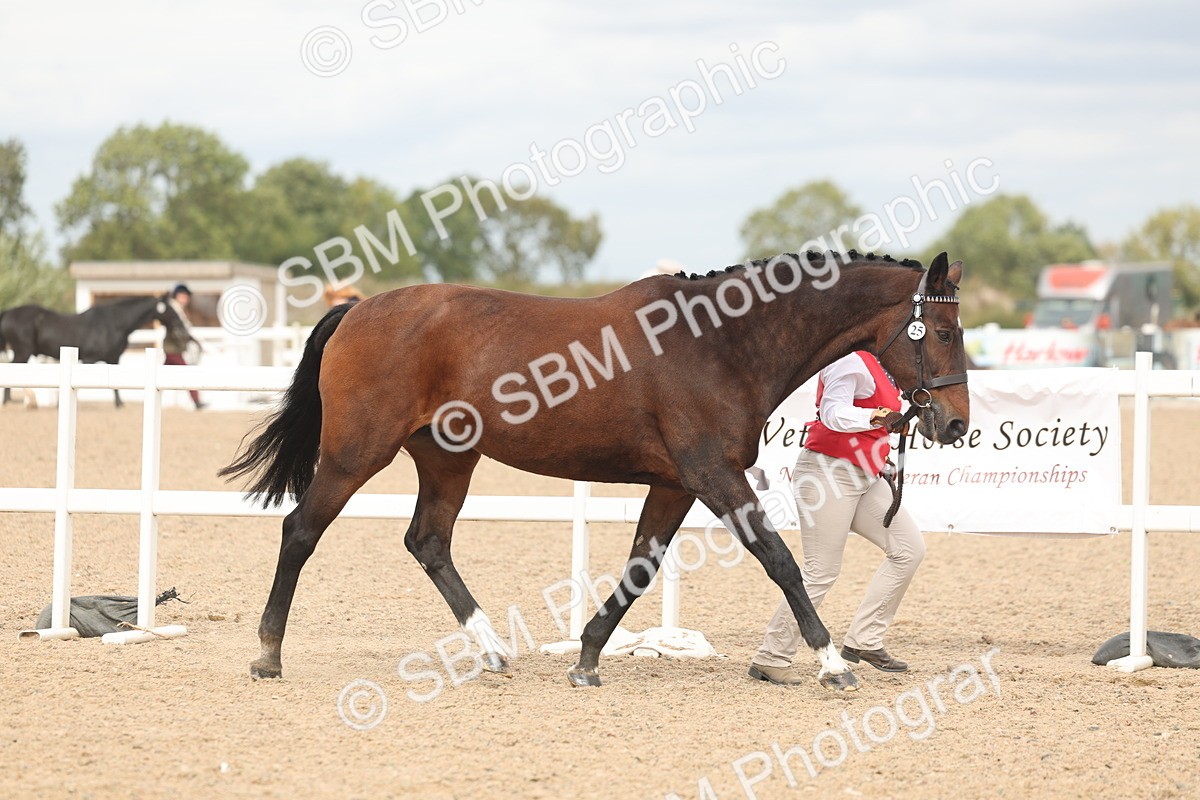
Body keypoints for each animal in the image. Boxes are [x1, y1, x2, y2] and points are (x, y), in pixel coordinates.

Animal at [0, 294, 195, 407]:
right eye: (171, 309)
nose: (183, 329)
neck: (114, 324)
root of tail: (9, 312)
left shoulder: (113, 358)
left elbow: (115, 387)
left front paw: (119, 404)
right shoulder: (89, 359)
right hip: (23, 351)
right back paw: (15, 401)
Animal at [221, 250, 970, 691]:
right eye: (942, 332)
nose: (956, 424)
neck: (724, 343)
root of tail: (356, 310)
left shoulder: (675, 484)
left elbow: (642, 566)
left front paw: (586, 658)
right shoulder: (712, 475)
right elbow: (780, 561)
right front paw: (834, 662)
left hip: (447, 458)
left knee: (428, 541)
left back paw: (493, 650)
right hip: (358, 452)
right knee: (301, 530)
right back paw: (267, 655)